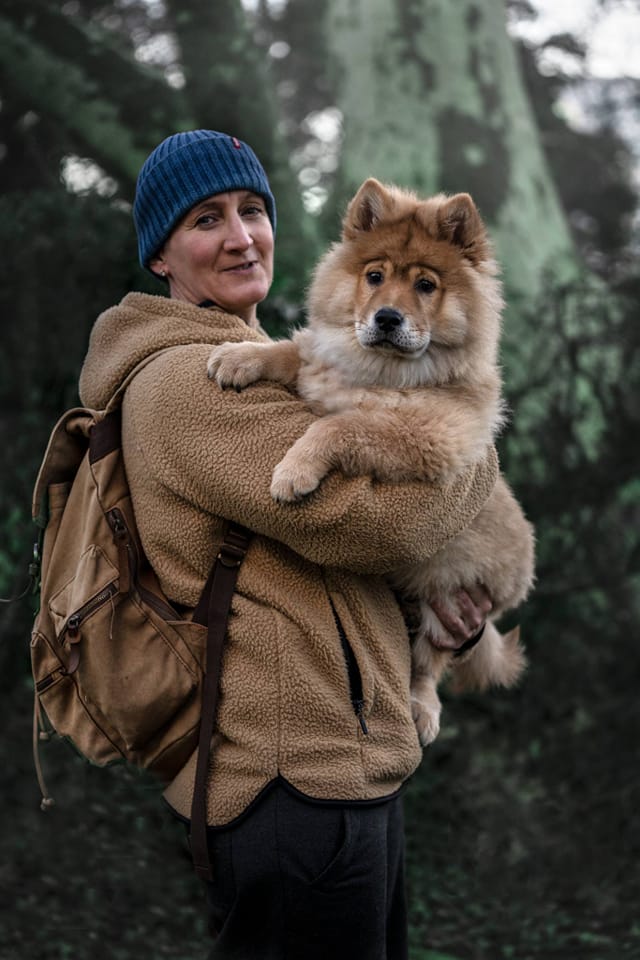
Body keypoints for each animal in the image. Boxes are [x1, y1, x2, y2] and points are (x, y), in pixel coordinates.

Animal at [208, 178, 532, 744]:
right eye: (374, 277)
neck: (383, 373)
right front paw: (238, 356)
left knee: (428, 664)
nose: (386, 317)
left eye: (425, 285)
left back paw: (423, 710)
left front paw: (293, 472)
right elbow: (292, 352)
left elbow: (341, 425)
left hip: (447, 591)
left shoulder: (424, 438)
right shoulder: (321, 371)